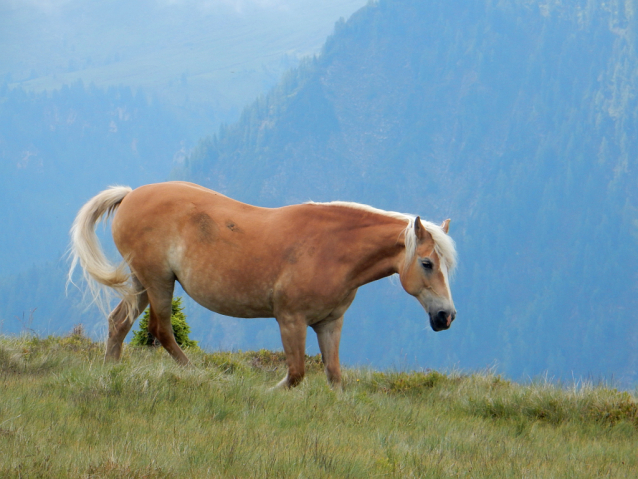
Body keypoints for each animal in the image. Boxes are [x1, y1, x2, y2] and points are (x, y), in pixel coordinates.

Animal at [69, 182, 460, 388]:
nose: (446, 316)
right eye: (427, 263)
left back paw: (111, 371)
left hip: (142, 283)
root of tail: (131, 194)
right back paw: (196, 374)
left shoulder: (329, 323)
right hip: (158, 282)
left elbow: (334, 376)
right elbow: (296, 374)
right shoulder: (291, 320)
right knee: (161, 330)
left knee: (119, 323)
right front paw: (271, 391)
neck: (332, 249)